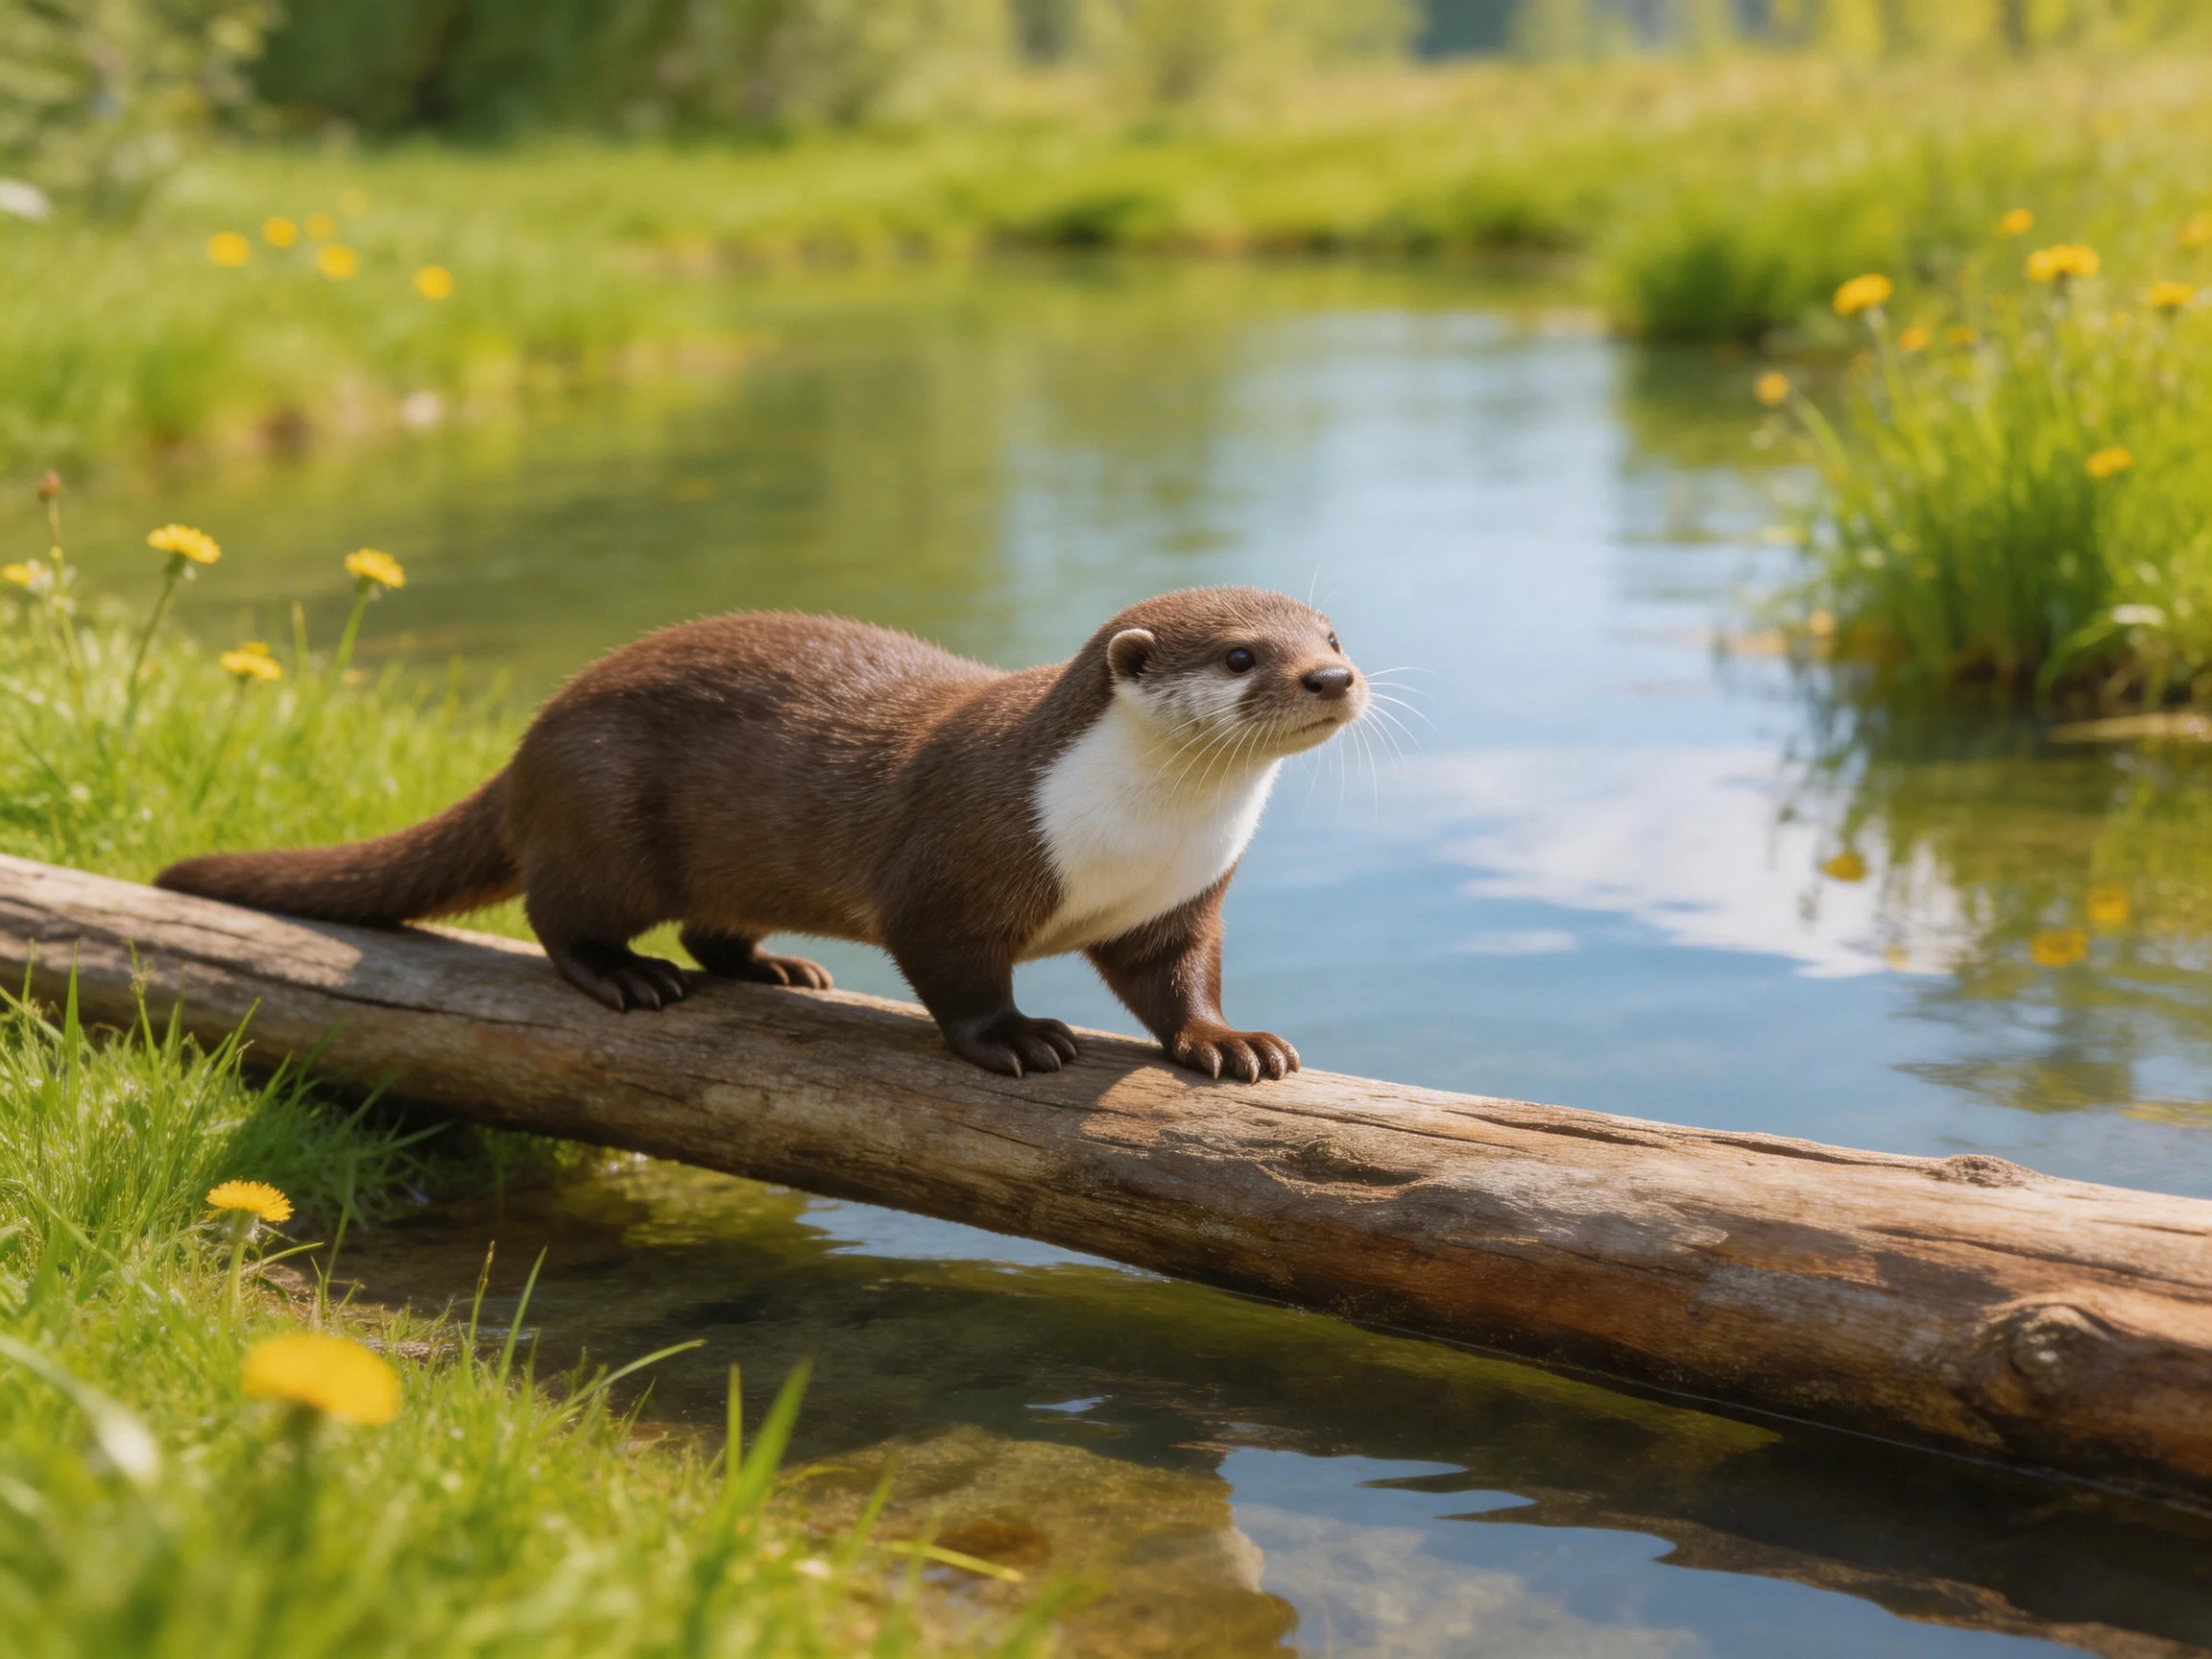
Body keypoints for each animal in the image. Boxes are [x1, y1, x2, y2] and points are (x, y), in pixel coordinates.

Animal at [156, 586, 1367, 1081]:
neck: (1133, 838)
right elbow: (956, 975)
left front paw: (1232, 1045)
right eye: (1242, 655)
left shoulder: (1181, 901)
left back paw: (781, 969)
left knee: (711, 931)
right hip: (604, 819)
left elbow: (1178, 984)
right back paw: (629, 978)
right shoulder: (951, 872)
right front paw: (1020, 1040)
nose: (1334, 677)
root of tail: (532, 739)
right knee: (559, 913)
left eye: (1333, 633)